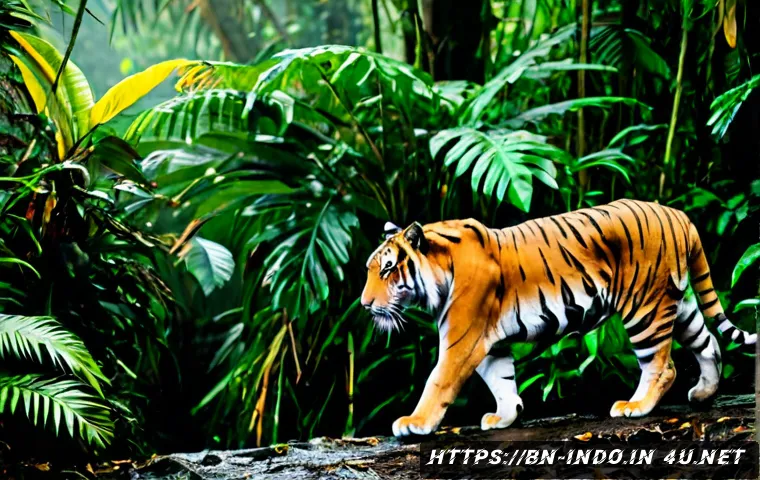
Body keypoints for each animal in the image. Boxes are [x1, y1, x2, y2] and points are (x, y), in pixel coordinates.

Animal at [360, 199, 757, 437]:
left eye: (388, 269)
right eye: (369, 269)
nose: (363, 304)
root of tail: (679, 215)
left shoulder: (463, 338)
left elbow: (438, 382)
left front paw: (414, 423)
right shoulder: (489, 344)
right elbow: (502, 381)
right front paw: (505, 416)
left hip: (645, 309)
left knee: (664, 365)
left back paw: (635, 406)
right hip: (677, 301)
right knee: (710, 343)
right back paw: (703, 393)